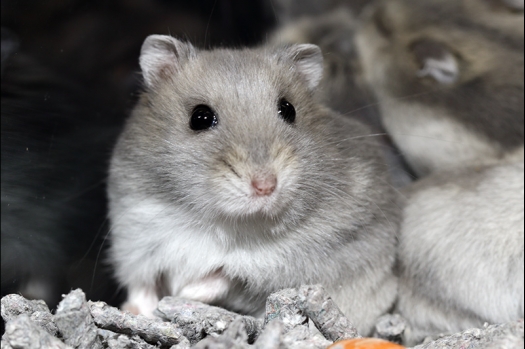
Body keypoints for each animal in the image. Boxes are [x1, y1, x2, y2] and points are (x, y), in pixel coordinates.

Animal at [107, 34, 402, 334]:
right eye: (200, 117)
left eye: (289, 109)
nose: (266, 186)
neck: (221, 220)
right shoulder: (135, 237)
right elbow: (141, 284)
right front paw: (137, 310)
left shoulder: (290, 258)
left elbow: (226, 273)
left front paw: (182, 293)